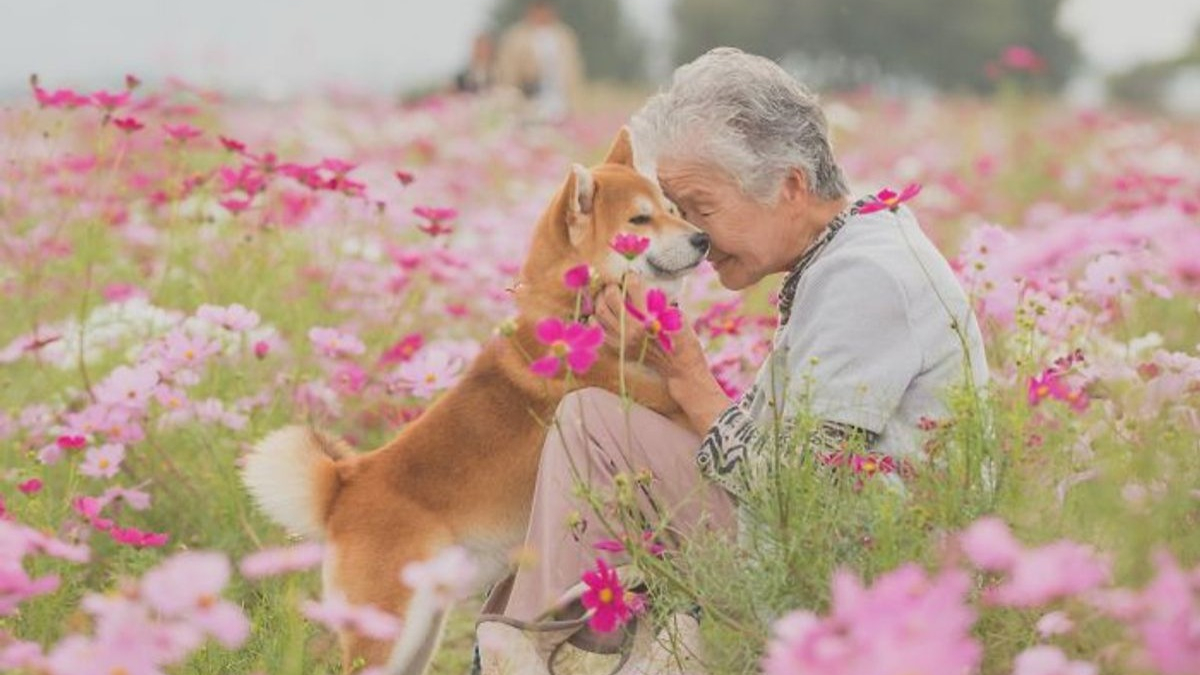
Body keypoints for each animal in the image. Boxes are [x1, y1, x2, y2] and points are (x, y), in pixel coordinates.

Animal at [242, 128, 705, 667]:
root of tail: (345, 484)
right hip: (387, 632)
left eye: (672, 209)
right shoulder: (657, 403)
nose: (703, 238)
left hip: (421, 631)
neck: (576, 315)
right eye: (639, 220)